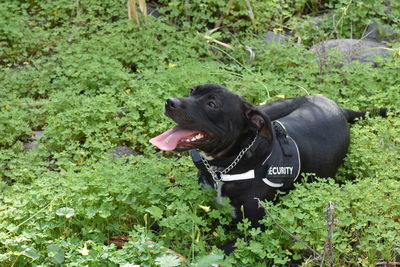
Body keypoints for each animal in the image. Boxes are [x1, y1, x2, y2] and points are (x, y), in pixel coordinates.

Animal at [149, 83, 384, 241]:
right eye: (191, 91)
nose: (170, 101)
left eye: (211, 104)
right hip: (272, 108)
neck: (226, 166)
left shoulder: (253, 229)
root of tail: (339, 109)